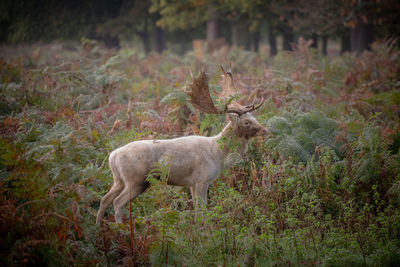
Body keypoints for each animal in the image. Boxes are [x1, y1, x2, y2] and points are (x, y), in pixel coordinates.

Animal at [95, 66, 268, 225]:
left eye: (254, 117)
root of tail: (113, 156)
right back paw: (120, 228)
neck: (218, 154)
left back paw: (98, 227)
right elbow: (202, 210)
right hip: (135, 179)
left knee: (104, 199)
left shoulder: (192, 184)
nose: (265, 130)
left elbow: (198, 210)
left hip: (119, 179)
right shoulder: (201, 179)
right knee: (117, 202)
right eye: (246, 122)